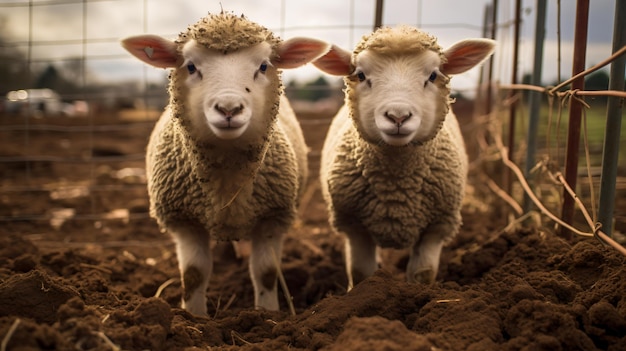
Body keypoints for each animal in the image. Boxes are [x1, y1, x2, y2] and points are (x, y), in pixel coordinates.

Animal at [119, 13, 330, 316]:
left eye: (263, 65)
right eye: (190, 66)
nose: (229, 109)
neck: (228, 179)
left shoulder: (273, 217)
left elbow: (266, 273)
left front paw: (267, 314)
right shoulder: (184, 220)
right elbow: (194, 274)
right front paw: (194, 316)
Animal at [312, 26, 492, 288]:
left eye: (433, 76)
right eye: (361, 75)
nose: (398, 116)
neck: (396, 183)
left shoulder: (437, 227)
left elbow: (424, 273)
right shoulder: (354, 225)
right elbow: (360, 272)